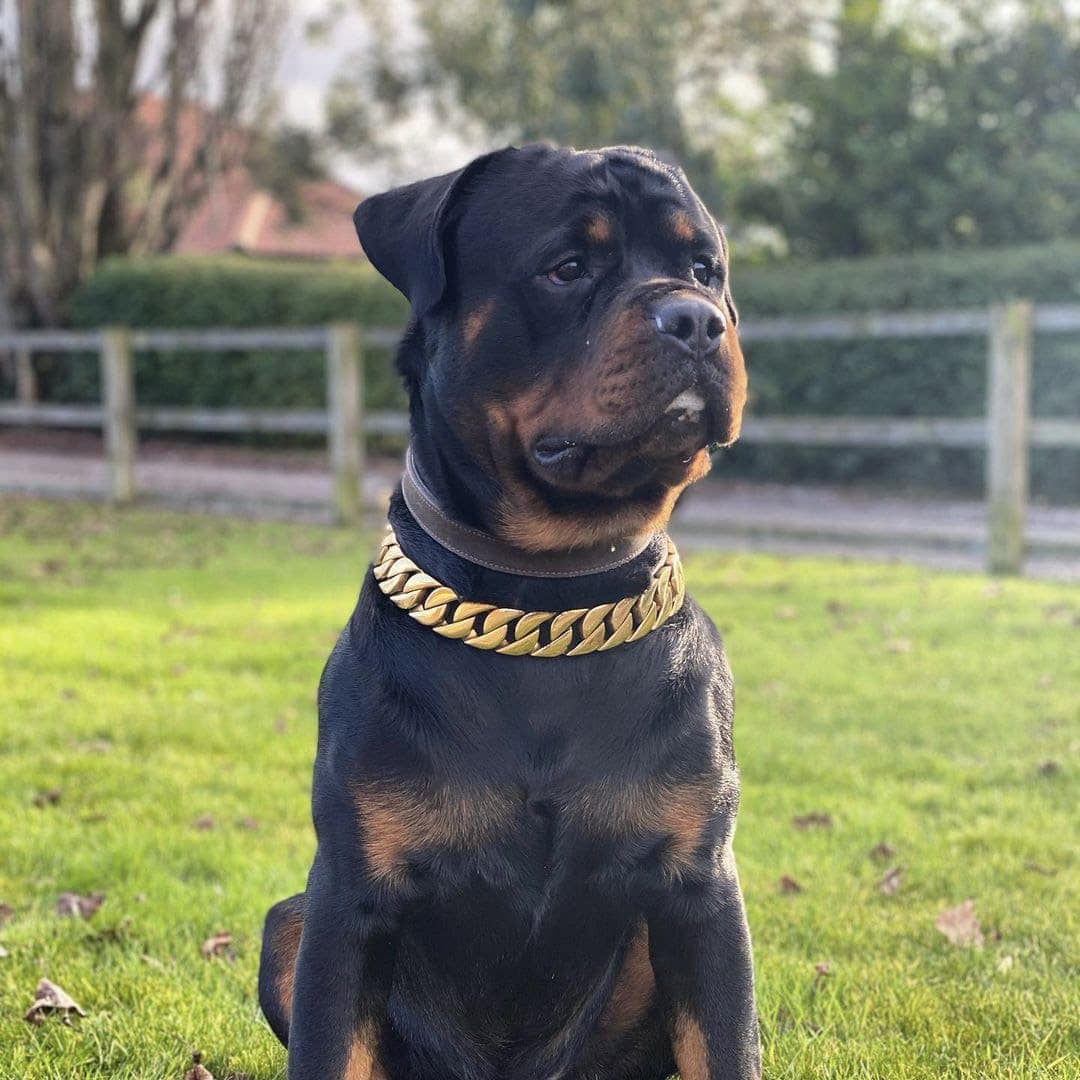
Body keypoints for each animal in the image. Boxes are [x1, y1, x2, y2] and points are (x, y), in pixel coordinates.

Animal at [255, 145, 756, 1080]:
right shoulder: (349, 903)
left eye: (703, 268)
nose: (696, 320)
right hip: (290, 924)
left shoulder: (700, 895)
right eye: (567, 267)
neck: (548, 595)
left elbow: (725, 1048)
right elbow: (330, 1048)